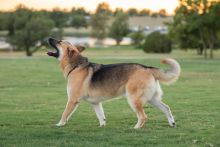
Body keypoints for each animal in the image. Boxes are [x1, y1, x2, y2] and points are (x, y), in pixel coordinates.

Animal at [46, 38, 180, 129]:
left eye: (59, 41)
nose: (49, 38)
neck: (76, 66)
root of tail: (147, 68)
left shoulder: (72, 100)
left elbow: (65, 114)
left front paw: (59, 124)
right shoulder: (96, 103)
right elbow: (101, 116)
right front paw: (102, 126)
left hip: (134, 99)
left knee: (143, 116)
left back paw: (136, 128)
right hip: (152, 99)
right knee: (166, 108)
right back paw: (172, 123)